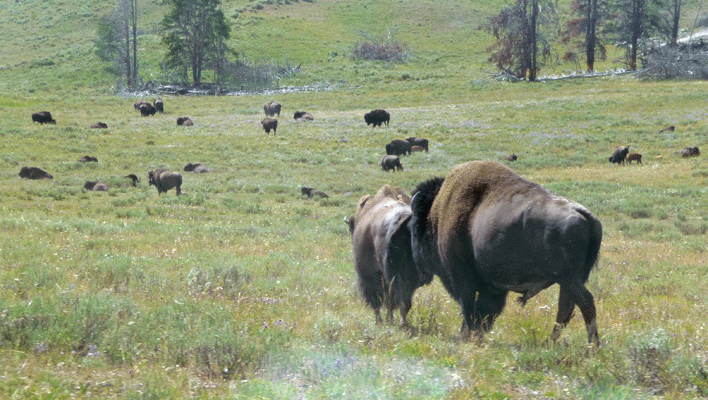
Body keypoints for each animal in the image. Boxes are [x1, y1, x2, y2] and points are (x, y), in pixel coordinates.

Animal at [410, 161, 604, 346]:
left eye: (414, 227)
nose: (417, 266)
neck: (436, 215)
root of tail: (586, 215)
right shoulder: (492, 286)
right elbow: (484, 312)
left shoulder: (463, 279)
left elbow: (470, 310)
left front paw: (467, 337)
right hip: (571, 279)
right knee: (566, 308)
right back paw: (551, 343)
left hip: (568, 278)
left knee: (585, 303)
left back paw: (591, 348)